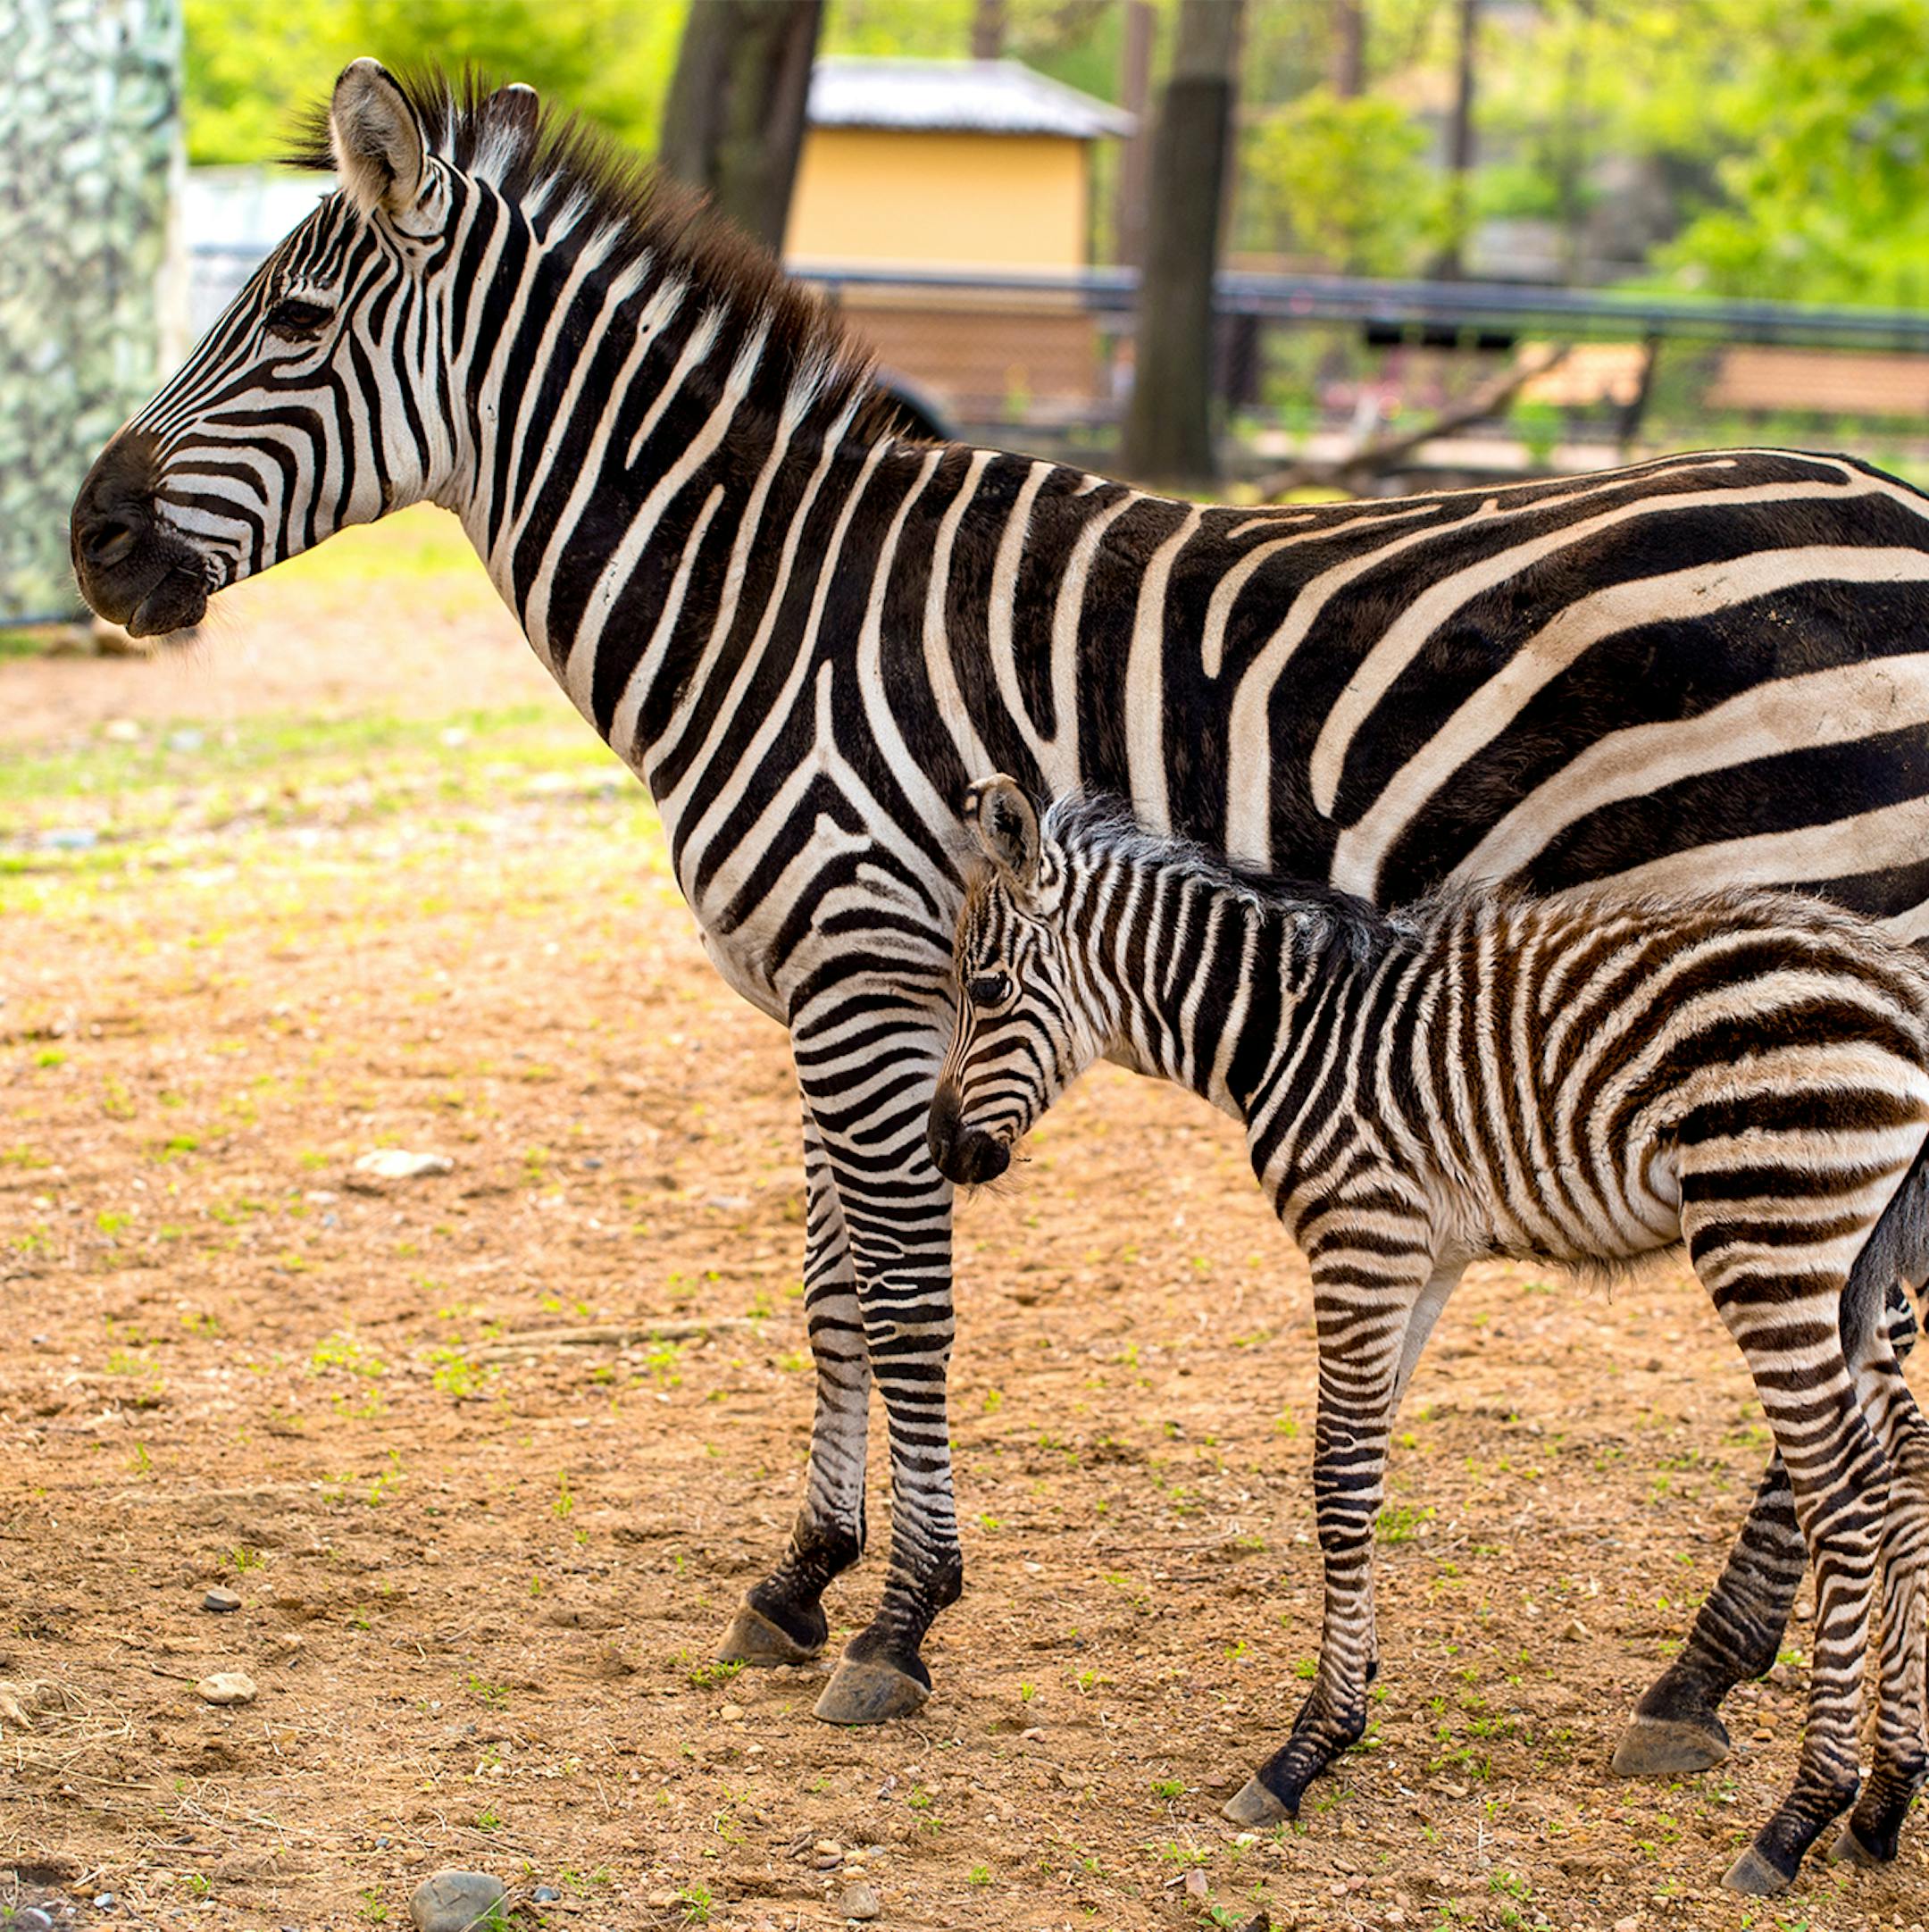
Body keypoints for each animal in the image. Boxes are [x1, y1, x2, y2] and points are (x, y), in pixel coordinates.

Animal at [64, 58, 1929, 1745]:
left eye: (294, 323)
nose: (91, 546)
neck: (769, 604)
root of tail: (1891, 492)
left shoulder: (869, 961)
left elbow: (905, 1292)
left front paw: (901, 1619)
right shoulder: (830, 985)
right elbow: (826, 1276)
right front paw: (799, 1578)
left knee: (1857, 1363)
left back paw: (1704, 1676)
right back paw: (1724, 1675)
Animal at [930, 775, 1929, 1895]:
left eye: (987, 988)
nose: (943, 1150)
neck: (1287, 1032)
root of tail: (1902, 988)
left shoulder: (1363, 1234)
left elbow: (1337, 1475)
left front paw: (1304, 1751)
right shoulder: (1425, 1258)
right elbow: (1364, 1466)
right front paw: (1350, 1689)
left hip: (1767, 1239)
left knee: (1841, 1489)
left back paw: (1797, 1819)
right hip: (1846, 1268)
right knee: (1902, 1468)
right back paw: (1883, 1803)